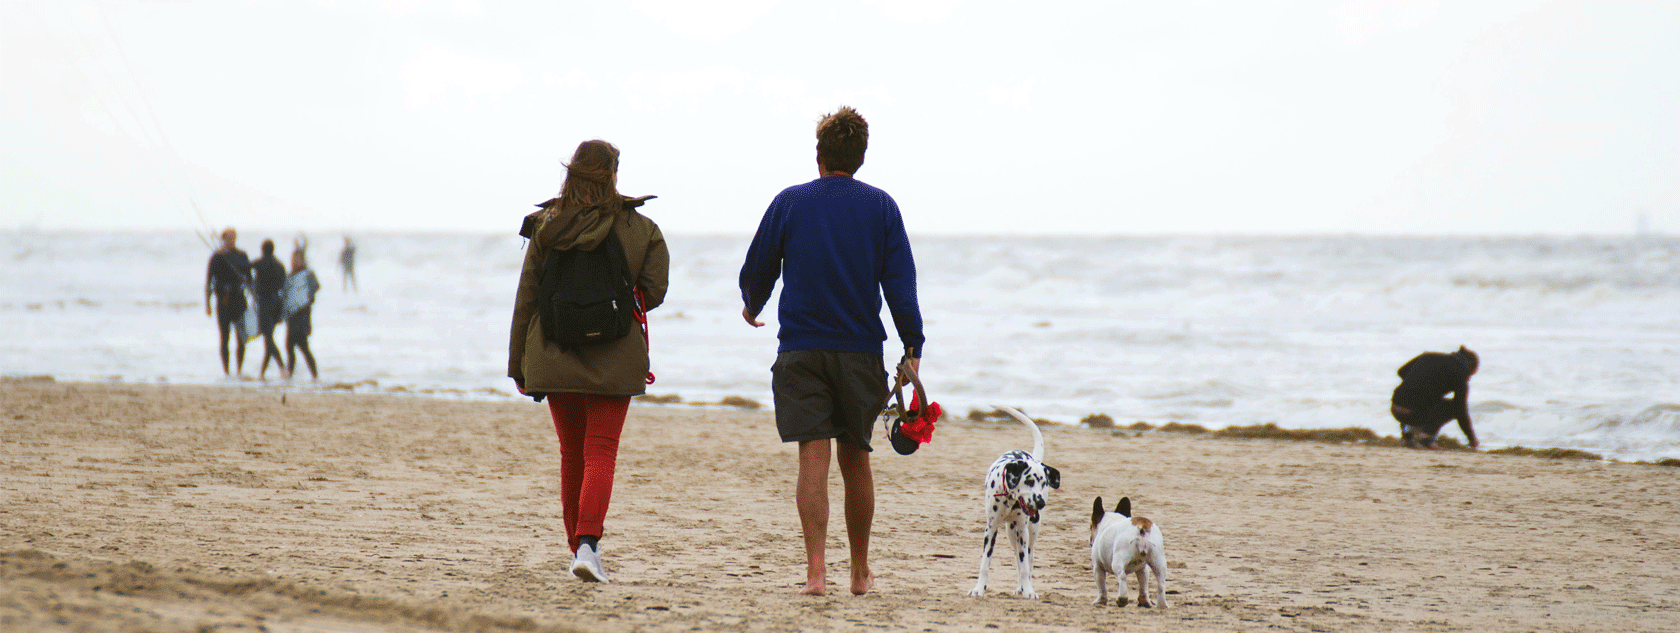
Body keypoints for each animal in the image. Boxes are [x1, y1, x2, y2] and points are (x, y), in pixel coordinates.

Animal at [967, 404, 1055, 597]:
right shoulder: (991, 529)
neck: (1009, 499)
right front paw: (978, 588)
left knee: (1028, 558)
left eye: (1044, 483)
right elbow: (985, 562)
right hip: (1010, 532)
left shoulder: (1022, 530)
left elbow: (1024, 566)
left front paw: (1028, 590)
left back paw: (1022, 587)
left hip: (1029, 531)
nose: (1040, 503)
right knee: (1017, 556)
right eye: (1029, 481)